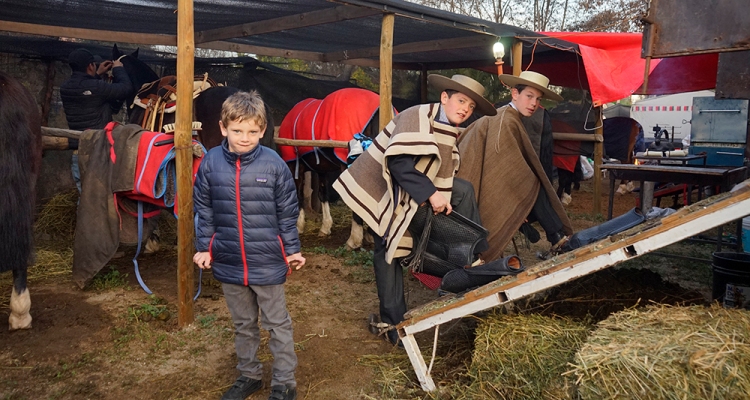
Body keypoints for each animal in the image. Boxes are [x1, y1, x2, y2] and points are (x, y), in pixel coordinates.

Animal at [276, 89, 384, 248]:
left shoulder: (294, 165)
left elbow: (298, 194)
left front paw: (298, 226)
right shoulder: (321, 168)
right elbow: (323, 194)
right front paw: (325, 227)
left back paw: (354, 240)